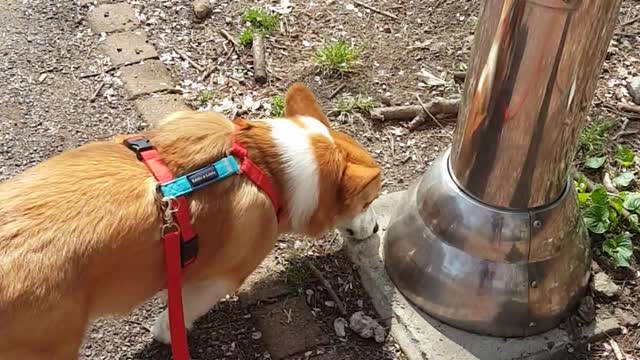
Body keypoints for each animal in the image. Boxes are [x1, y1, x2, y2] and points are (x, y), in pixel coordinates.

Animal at [0, 83, 380, 358]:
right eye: (369, 201)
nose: (377, 228)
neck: (265, 165)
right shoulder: (217, 280)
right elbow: (177, 314)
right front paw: (168, 333)